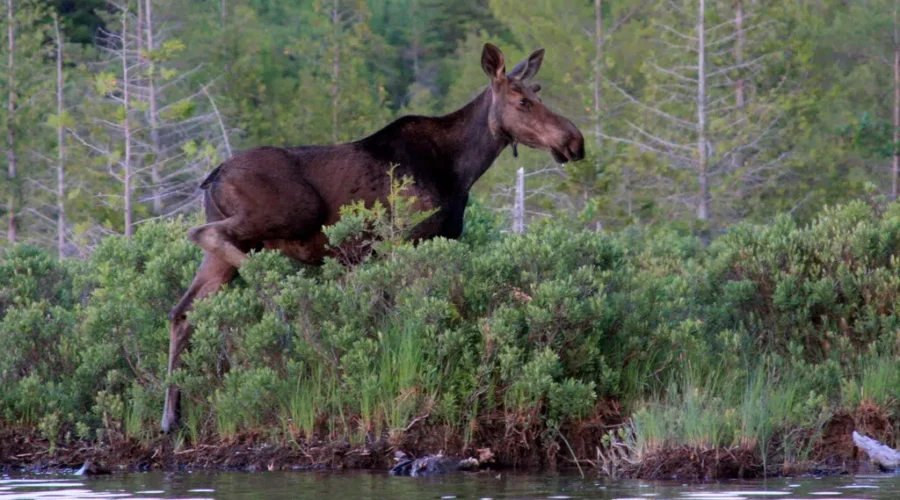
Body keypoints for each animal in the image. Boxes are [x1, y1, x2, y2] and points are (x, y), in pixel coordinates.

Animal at [161, 43, 586, 433]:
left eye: (538, 91)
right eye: (522, 101)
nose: (575, 141)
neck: (462, 168)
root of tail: (212, 177)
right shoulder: (407, 238)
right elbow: (411, 319)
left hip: (233, 247)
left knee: (182, 310)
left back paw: (171, 416)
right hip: (291, 213)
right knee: (202, 235)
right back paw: (279, 297)